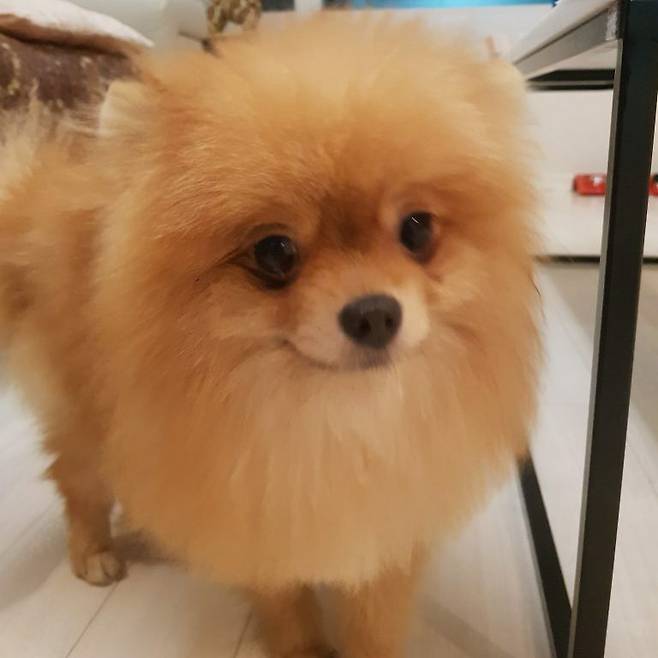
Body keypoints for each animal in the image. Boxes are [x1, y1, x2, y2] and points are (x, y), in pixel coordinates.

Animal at [0, 15, 538, 658]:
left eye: (417, 229)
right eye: (275, 252)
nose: (375, 314)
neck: (332, 418)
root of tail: (42, 194)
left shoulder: (390, 520)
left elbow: (373, 619)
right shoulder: (253, 514)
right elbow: (286, 605)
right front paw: (303, 648)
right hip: (86, 409)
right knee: (76, 476)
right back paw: (95, 551)